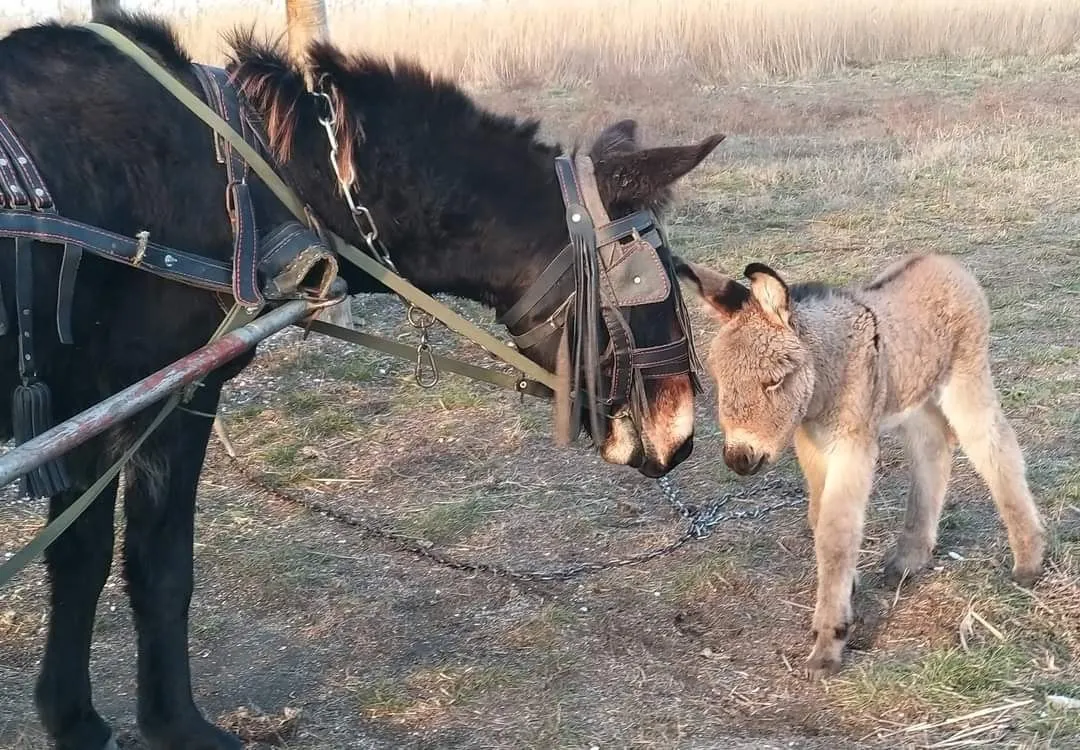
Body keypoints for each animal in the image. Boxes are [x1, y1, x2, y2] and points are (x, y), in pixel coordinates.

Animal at [678, 253, 1041, 682]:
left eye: (775, 381)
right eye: (719, 381)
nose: (739, 459)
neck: (825, 375)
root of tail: (942, 260)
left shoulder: (852, 446)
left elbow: (835, 534)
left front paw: (829, 641)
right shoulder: (812, 445)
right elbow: (819, 517)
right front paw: (846, 591)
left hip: (965, 376)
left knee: (994, 446)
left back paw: (1029, 560)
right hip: (912, 392)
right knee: (933, 445)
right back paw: (910, 558)